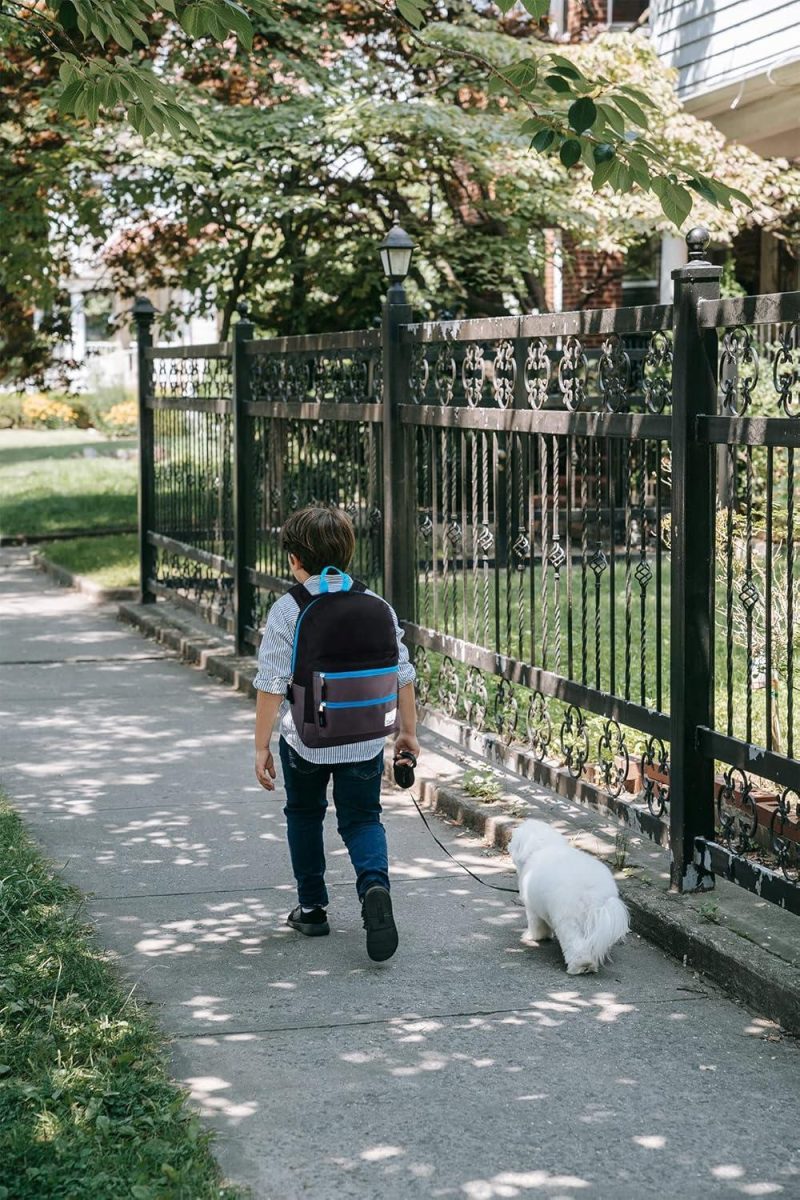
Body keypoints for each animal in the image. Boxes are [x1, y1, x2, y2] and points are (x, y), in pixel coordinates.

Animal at [510, 816, 628, 974]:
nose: (509, 844)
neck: (543, 847)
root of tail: (593, 892)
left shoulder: (532, 908)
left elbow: (537, 925)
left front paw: (534, 936)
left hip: (568, 919)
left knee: (575, 943)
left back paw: (582, 965)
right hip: (594, 921)